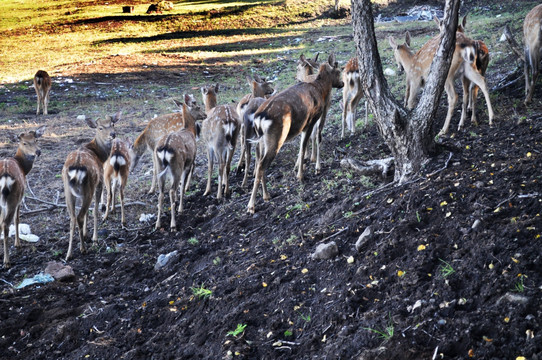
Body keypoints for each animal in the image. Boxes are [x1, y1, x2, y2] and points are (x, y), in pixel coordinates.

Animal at [0, 126, 45, 268]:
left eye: (36, 139)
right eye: (24, 143)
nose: (38, 152)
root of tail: (5, 177)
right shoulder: (21, 197)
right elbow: (17, 219)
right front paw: (17, 244)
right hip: (13, 197)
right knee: (6, 224)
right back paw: (7, 261)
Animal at [63, 111, 120, 260]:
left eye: (112, 124)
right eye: (100, 128)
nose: (113, 134)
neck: (100, 155)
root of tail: (76, 168)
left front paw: (86, 234)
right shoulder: (99, 182)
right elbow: (94, 209)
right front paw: (93, 238)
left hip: (68, 191)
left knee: (72, 218)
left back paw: (69, 254)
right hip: (87, 187)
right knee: (79, 216)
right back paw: (83, 248)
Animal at [154, 101, 199, 231]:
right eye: (198, 107)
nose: (205, 114)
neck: (190, 130)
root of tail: (165, 148)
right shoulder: (188, 163)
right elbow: (182, 186)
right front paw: (181, 208)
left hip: (160, 167)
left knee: (161, 193)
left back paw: (158, 224)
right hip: (176, 166)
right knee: (171, 191)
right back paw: (173, 224)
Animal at [250, 54, 346, 214]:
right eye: (338, 70)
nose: (343, 83)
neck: (320, 89)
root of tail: (259, 118)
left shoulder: (303, 124)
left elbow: (302, 147)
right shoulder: (310, 120)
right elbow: (305, 146)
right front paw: (301, 175)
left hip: (262, 140)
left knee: (258, 162)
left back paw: (266, 196)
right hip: (277, 136)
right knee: (262, 164)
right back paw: (251, 206)